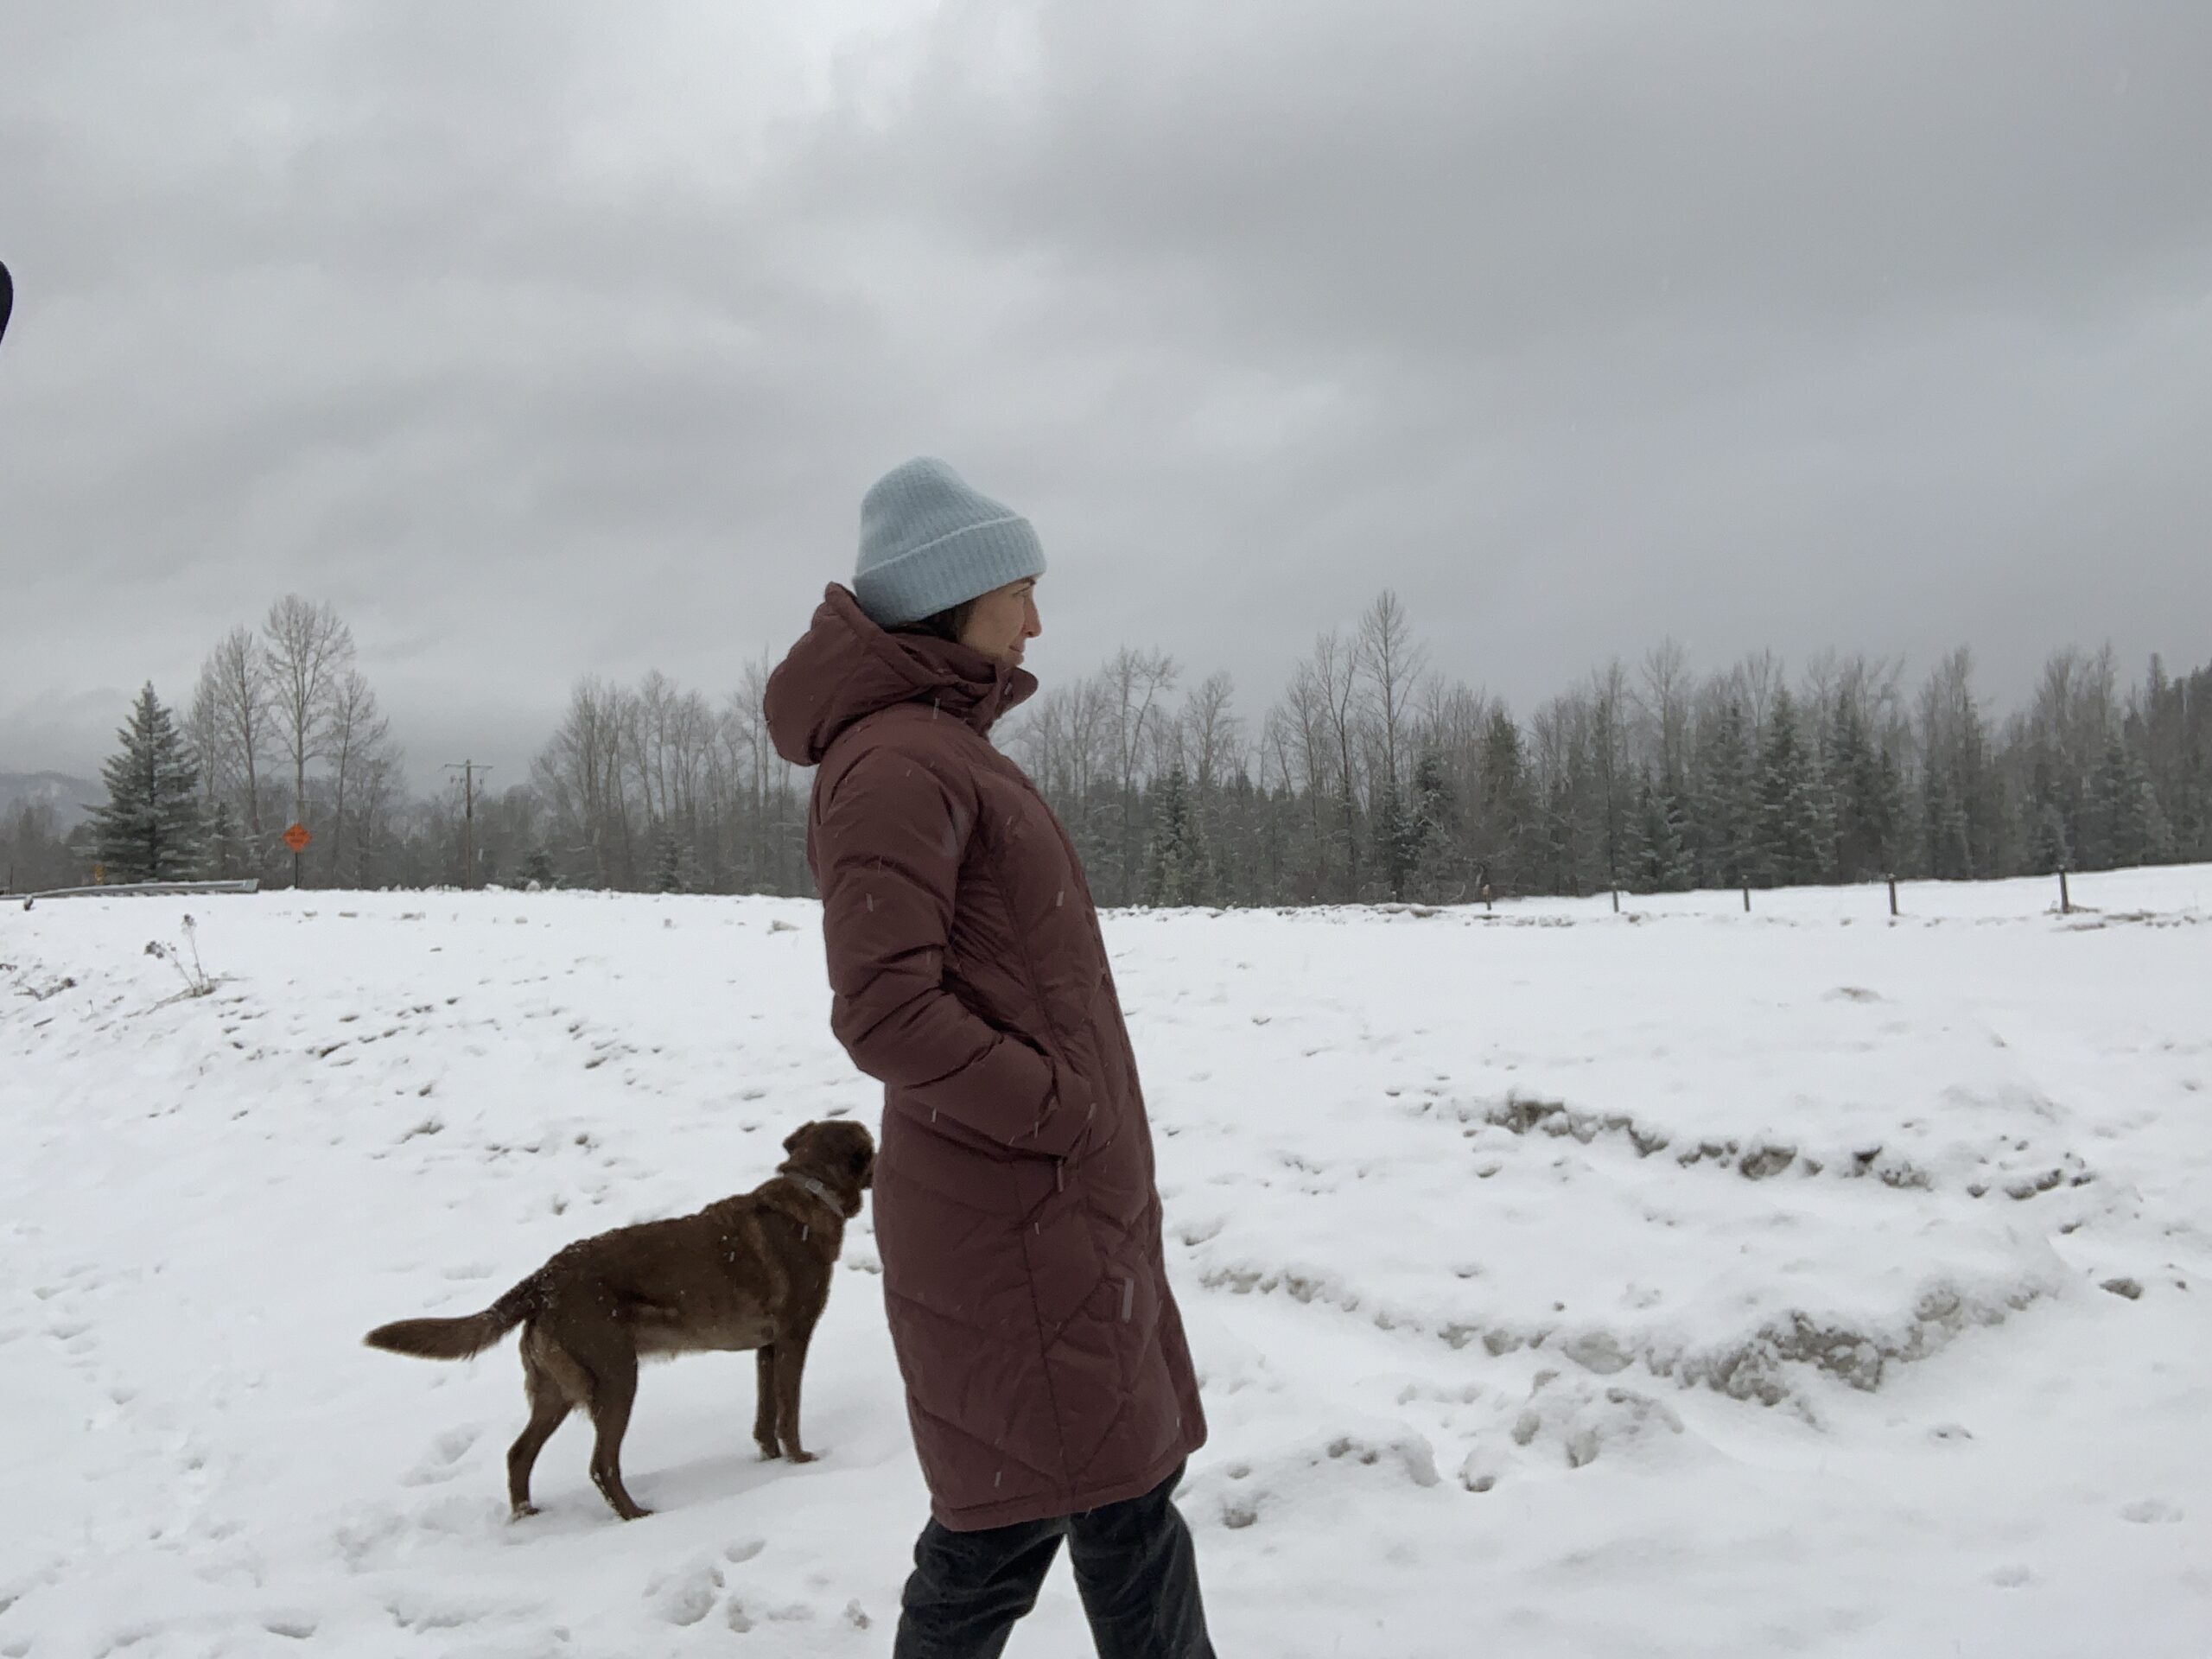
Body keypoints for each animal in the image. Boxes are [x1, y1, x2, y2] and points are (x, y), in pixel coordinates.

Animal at [362, 1123, 871, 1530]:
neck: (812, 1191)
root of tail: (544, 1279)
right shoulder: (794, 1337)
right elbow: (789, 1413)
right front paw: (802, 1462)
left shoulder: (765, 1349)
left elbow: (765, 1419)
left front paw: (769, 1463)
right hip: (617, 1378)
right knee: (600, 1465)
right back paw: (636, 1517)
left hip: (556, 1389)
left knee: (518, 1454)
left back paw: (527, 1518)